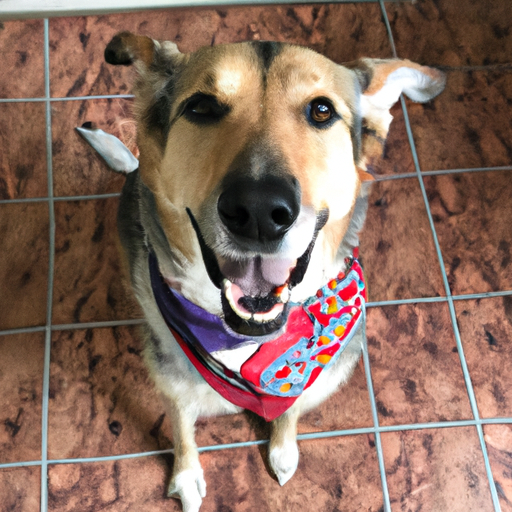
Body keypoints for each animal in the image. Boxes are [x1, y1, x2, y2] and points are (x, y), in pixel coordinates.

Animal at [97, 33, 444, 512]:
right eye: (201, 106)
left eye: (322, 110)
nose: (259, 212)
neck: (246, 343)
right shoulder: (171, 380)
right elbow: (182, 427)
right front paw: (186, 476)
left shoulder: (307, 375)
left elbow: (291, 407)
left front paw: (282, 448)